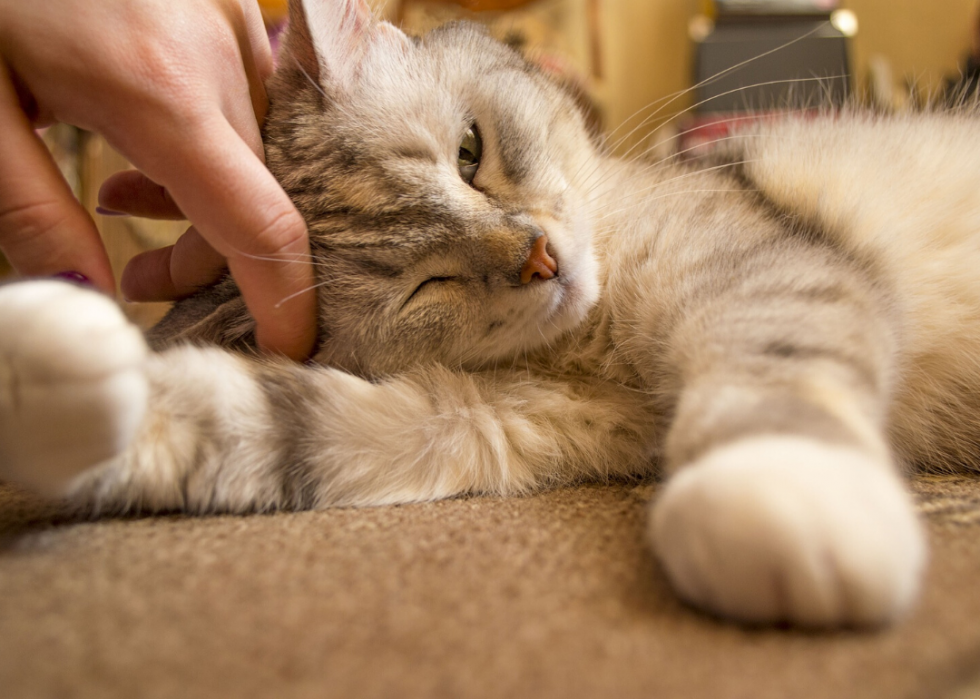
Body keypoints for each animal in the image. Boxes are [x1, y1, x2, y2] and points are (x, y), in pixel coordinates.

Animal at [1, 0, 980, 628]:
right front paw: (43, 373)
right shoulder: (480, 419)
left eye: (470, 153)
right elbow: (251, 417)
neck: (596, 346)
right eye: (422, 286)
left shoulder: (758, 276)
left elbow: (768, 382)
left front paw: (783, 498)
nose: (538, 257)